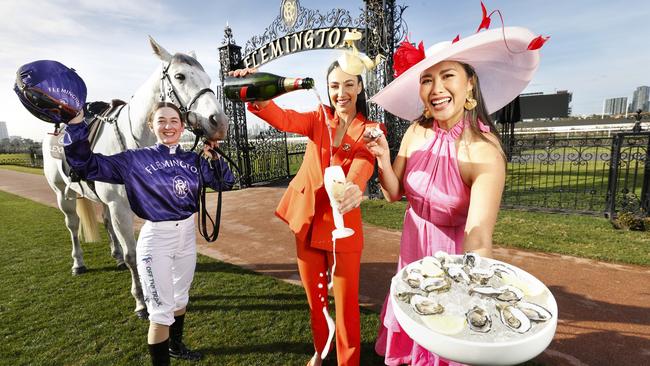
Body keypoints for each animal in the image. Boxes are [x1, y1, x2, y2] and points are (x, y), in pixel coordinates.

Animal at [41, 37, 228, 318]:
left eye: (208, 78)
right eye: (180, 76)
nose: (219, 122)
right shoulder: (120, 207)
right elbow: (133, 254)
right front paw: (141, 302)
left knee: (105, 222)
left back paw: (115, 255)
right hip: (63, 193)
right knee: (72, 225)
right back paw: (78, 263)